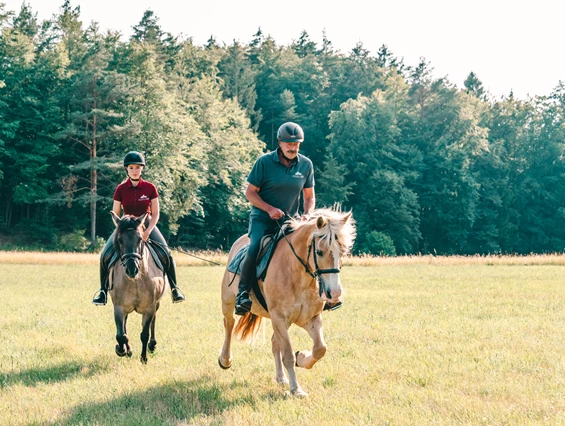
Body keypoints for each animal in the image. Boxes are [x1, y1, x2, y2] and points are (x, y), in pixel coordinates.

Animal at [107, 211, 165, 364]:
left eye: (140, 239)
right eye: (119, 240)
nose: (132, 269)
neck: (136, 281)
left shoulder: (150, 308)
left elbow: (144, 334)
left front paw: (144, 358)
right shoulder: (119, 307)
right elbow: (121, 334)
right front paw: (122, 350)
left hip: (156, 304)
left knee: (154, 321)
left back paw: (152, 345)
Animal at [218, 208, 354, 398]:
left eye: (342, 252)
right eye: (319, 252)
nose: (334, 294)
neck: (296, 273)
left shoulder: (309, 319)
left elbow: (320, 348)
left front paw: (302, 358)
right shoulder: (279, 318)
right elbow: (288, 355)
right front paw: (296, 389)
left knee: (275, 342)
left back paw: (281, 377)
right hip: (229, 301)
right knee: (229, 325)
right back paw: (225, 359)